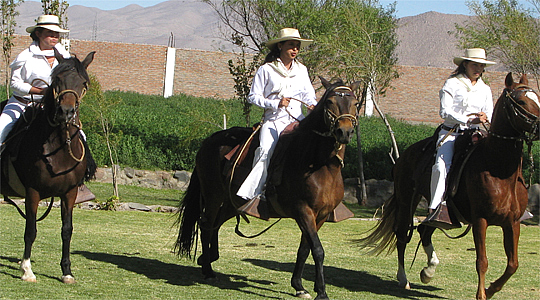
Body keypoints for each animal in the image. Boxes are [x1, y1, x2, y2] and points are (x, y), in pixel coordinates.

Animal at [1, 49, 96, 284]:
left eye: (83, 83)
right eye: (57, 80)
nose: (66, 112)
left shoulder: (69, 193)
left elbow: (66, 230)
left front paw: (67, 271)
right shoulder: (32, 192)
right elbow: (30, 230)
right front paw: (27, 269)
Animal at [177, 78, 360, 300]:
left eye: (355, 103)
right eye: (330, 102)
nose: (344, 132)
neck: (319, 164)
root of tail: (208, 141)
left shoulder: (321, 215)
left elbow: (304, 249)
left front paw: (299, 285)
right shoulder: (303, 211)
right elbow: (317, 250)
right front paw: (322, 292)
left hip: (232, 202)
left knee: (216, 224)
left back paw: (208, 258)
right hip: (213, 196)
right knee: (206, 224)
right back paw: (208, 270)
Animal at [358, 72, 540, 300]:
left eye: (537, 97)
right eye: (521, 101)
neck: (498, 170)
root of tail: (405, 155)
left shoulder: (512, 223)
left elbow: (513, 264)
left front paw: (490, 290)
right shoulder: (480, 220)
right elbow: (482, 261)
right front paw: (481, 294)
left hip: (435, 211)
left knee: (424, 230)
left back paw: (428, 271)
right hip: (407, 200)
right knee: (402, 234)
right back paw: (403, 278)